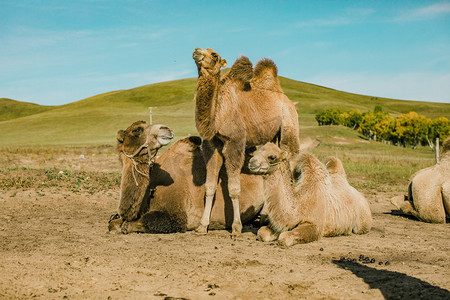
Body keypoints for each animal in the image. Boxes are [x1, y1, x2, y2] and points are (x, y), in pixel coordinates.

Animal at [192, 47, 300, 234]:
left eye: (214, 55)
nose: (197, 51)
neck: (219, 113)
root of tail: (285, 98)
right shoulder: (211, 145)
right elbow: (209, 187)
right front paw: (202, 226)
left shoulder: (235, 141)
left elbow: (234, 189)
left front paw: (236, 227)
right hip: (272, 136)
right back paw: (265, 216)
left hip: (289, 124)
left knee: (290, 159)